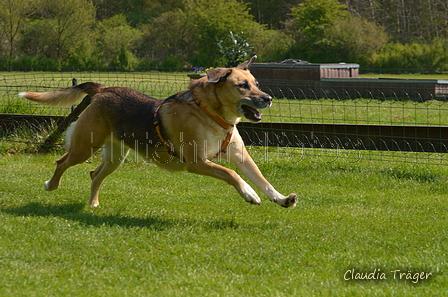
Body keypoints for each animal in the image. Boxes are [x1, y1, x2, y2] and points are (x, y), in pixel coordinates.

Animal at [19, 56, 298, 207]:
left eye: (256, 83)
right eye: (242, 86)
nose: (268, 98)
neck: (211, 114)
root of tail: (102, 89)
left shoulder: (241, 156)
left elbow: (263, 180)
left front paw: (281, 198)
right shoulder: (197, 162)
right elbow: (232, 174)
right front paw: (249, 193)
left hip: (115, 156)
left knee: (93, 174)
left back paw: (93, 203)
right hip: (85, 146)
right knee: (62, 162)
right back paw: (51, 185)